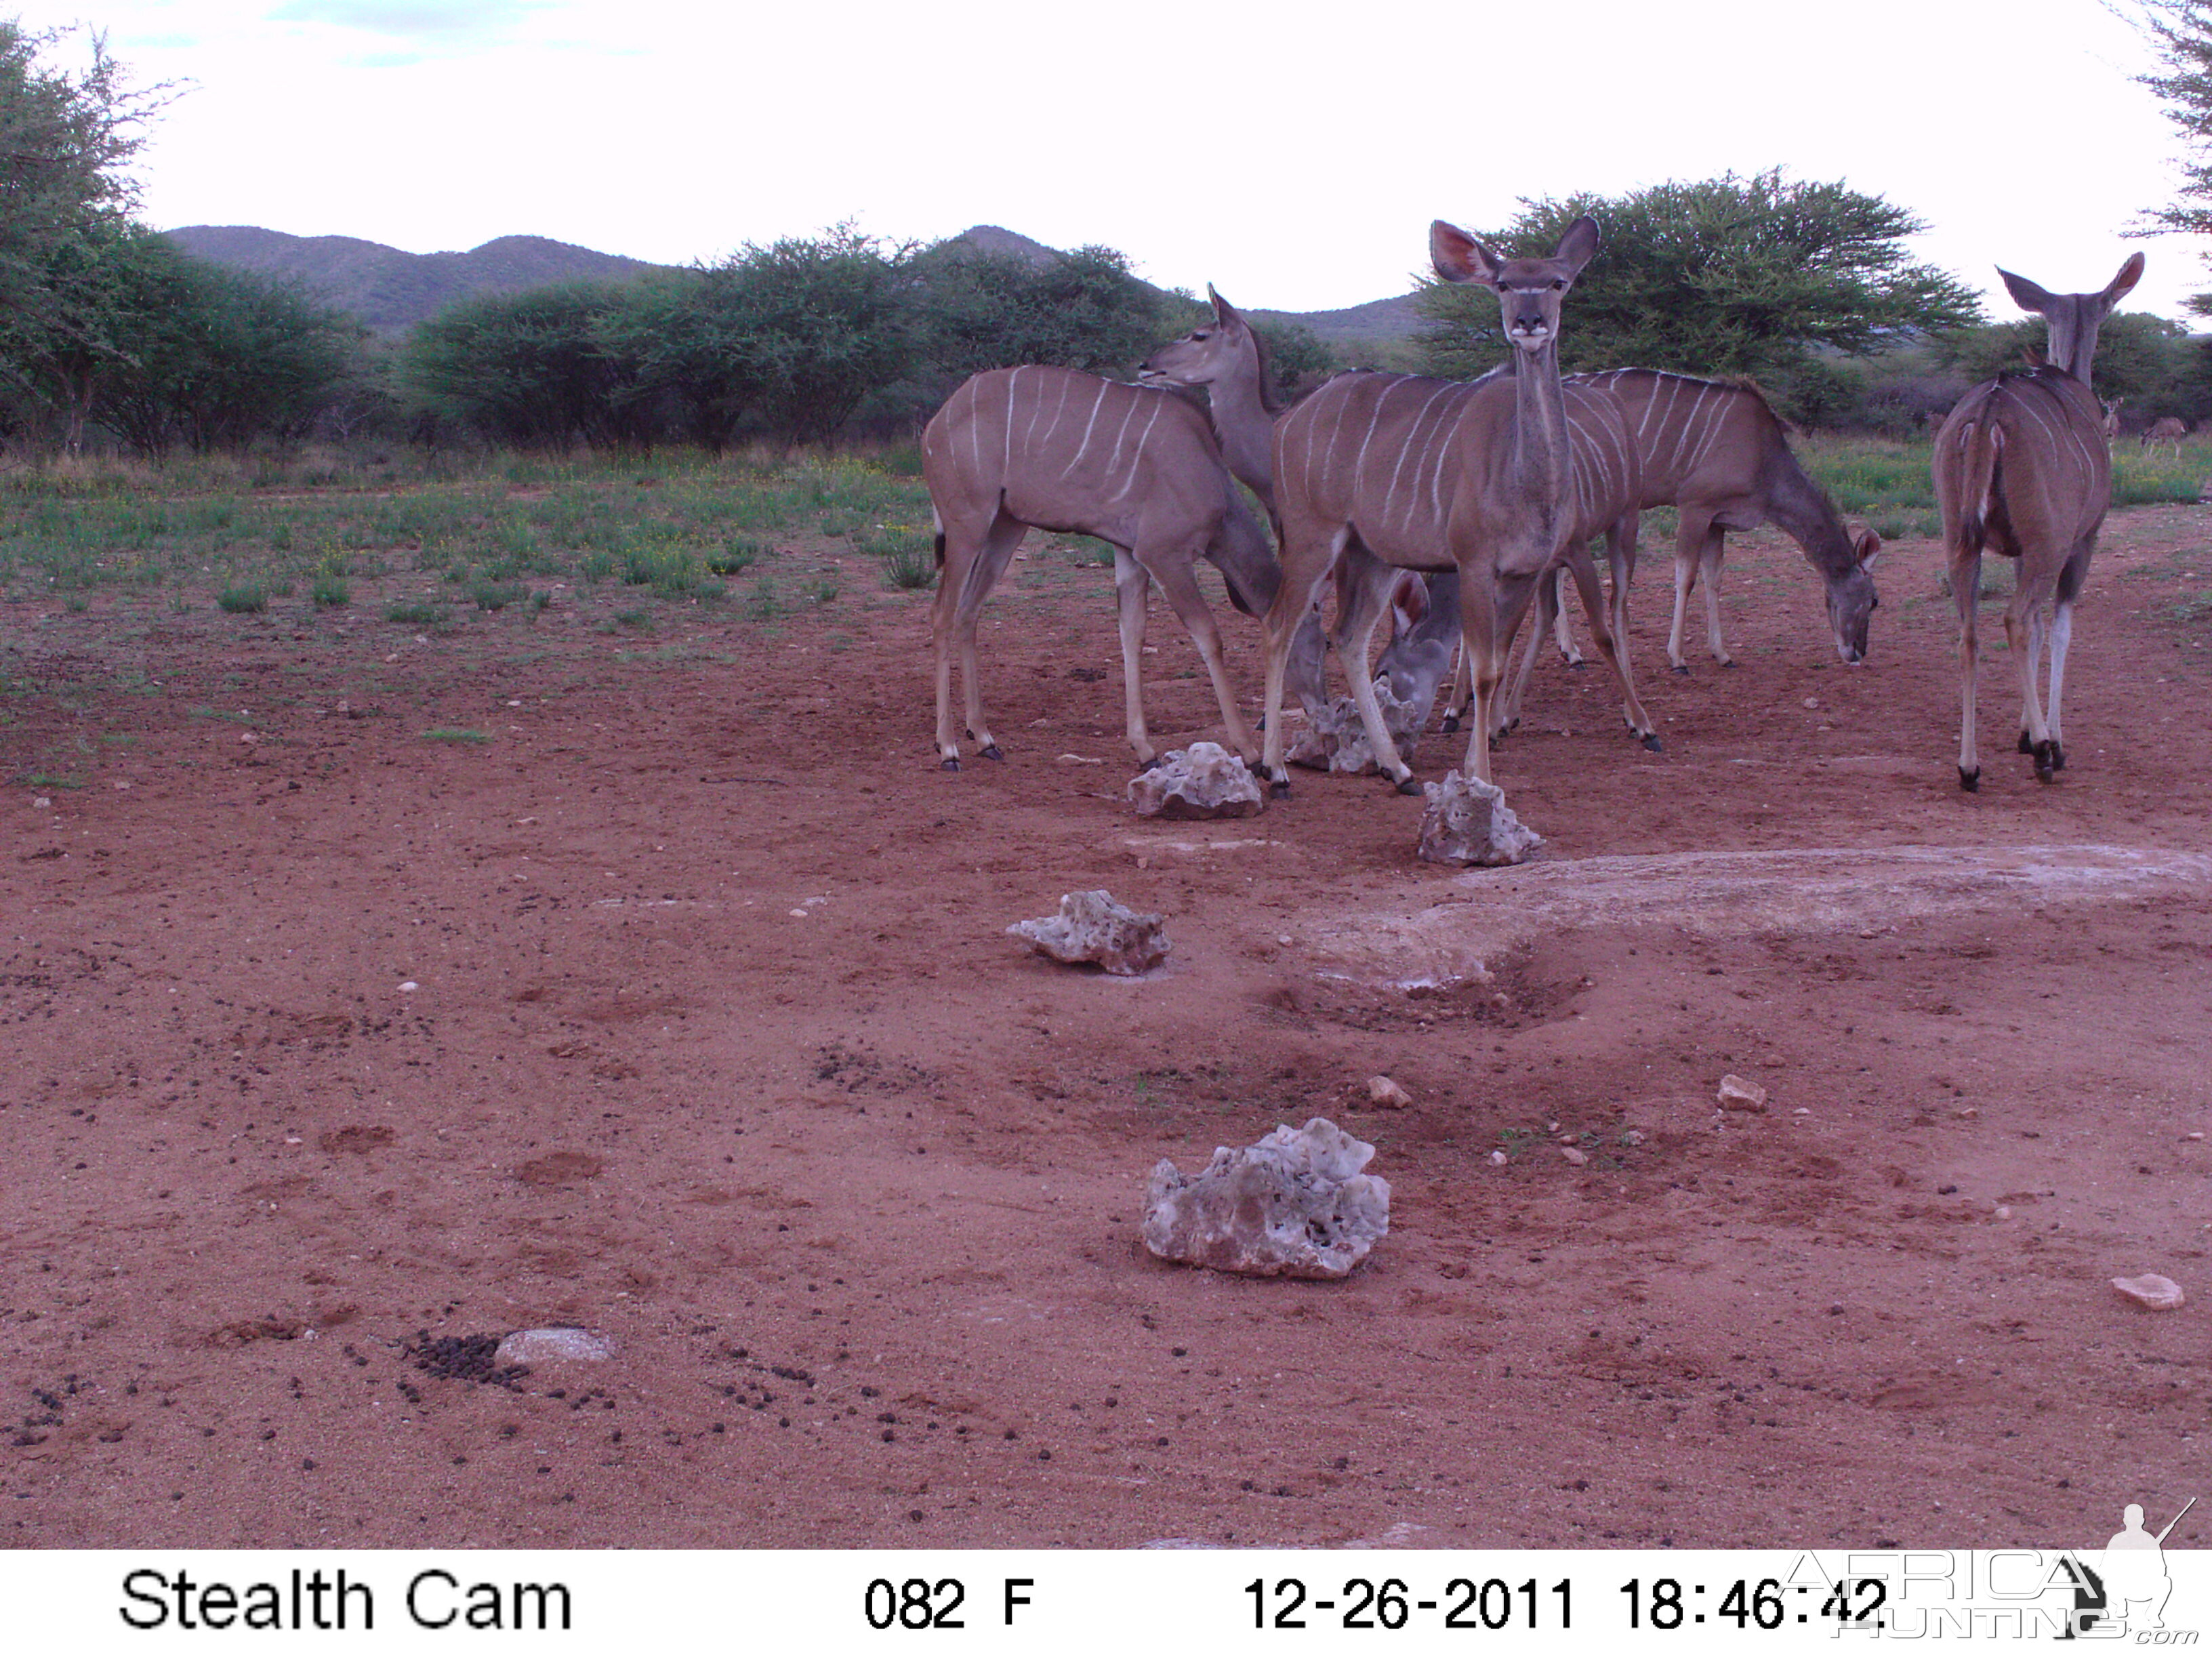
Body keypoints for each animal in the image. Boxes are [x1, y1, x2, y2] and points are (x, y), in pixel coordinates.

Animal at [920, 367, 1274, 769]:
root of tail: (936, 424)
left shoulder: (1130, 553)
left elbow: (1132, 633)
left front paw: (1145, 750)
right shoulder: (1165, 554)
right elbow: (1208, 635)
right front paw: (1249, 751)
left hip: (1005, 528)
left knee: (968, 612)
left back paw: (984, 739)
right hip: (967, 526)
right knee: (942, 613)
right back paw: (948, 748)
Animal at [1256, 218, 1654, 796]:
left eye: (1557, 283)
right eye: (1505, 284)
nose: (1529, 322)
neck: (1527, 480)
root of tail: (1286, 421)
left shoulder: (1524, 571)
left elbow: (1498, 662)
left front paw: (1475, 757)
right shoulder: (1474, 563)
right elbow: (1483, 669)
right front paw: (1481, 776)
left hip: (1374, 555)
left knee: (1348, 638)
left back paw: (1398, 771)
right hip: (1313, 539)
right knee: (1277, 629)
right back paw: (1276, 771)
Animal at [1938, 253, 2141, 792]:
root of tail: (1989, 415)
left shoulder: (2019, 552)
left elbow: (2033, 626)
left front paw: (2025, 732)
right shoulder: (2080, 542)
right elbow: (2059, 629)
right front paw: (2045, 738)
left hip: (1961, 543)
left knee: (1970, 634)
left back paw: (1969, 766)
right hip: (2050, 546)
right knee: (2014, 621)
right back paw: (2047, 755)